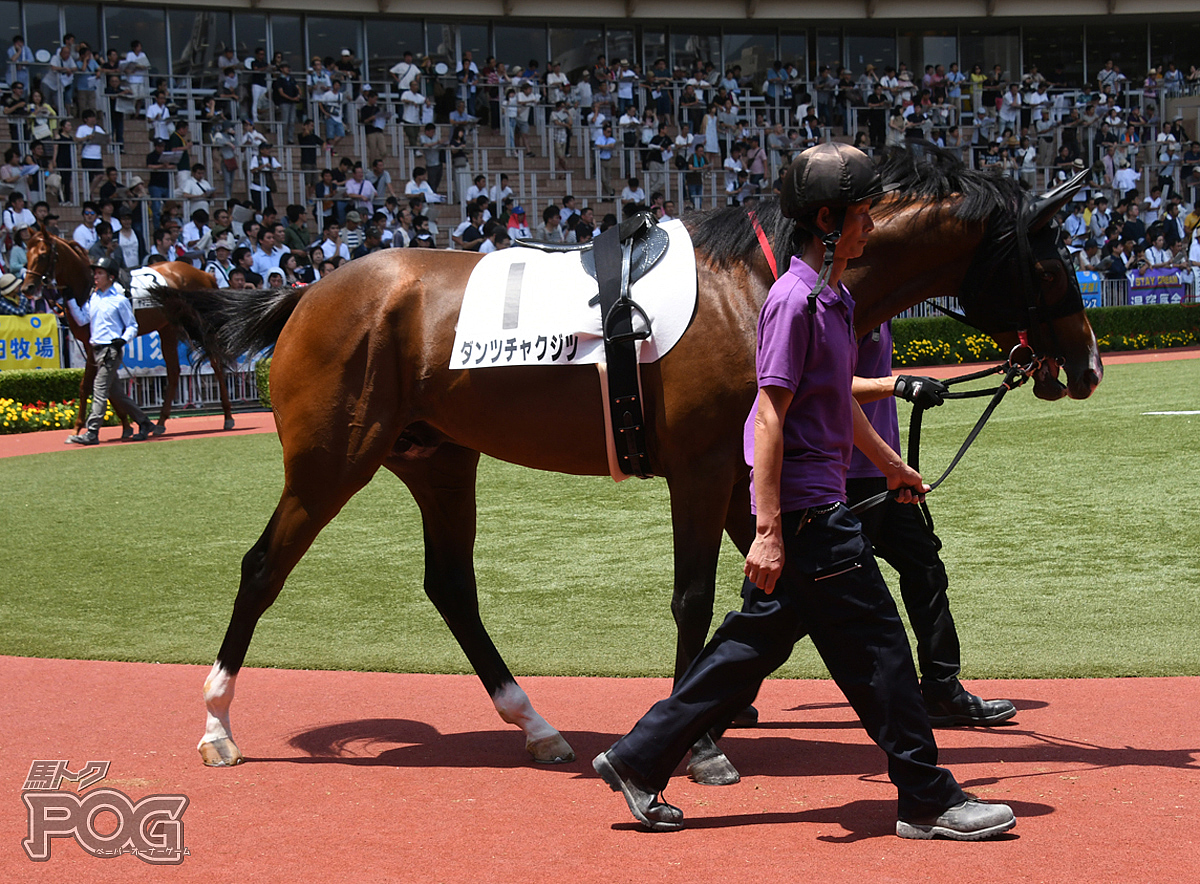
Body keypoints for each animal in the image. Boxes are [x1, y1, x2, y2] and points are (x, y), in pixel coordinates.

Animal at [21, 227, 235, 434]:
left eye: (43, 254)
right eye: (27, 254)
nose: (27, 288)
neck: (89, 287)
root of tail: (205, 275)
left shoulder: (93, 345)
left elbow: (89, 385)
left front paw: (78, 426)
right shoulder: (98, 345)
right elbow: (107, 386)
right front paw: (127, 425)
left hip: (197, 325)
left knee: (216, 363)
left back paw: (227, 417)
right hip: (168, 328)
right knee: (174, 371)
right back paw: (161, 422)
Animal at [159, 148, 1104, 782]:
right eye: (1054, 253)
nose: (1089, 363)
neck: (755, 282)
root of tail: (308, 292)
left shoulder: (747, 474)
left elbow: (774, 590)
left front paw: (724, 712)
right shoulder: (705, 466)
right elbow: (696, 598)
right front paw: (703, 743)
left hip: (438, 459)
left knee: (450, 587)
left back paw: (536, 727)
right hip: (331, 460)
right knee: (263, 567)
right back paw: (215, 726)